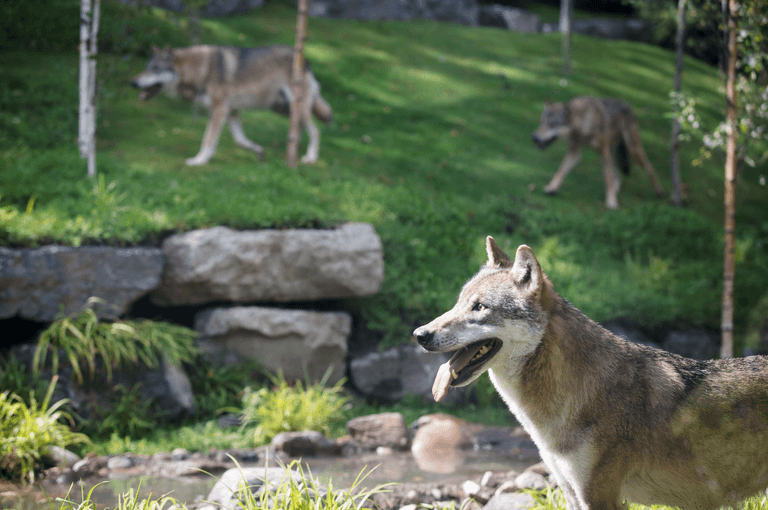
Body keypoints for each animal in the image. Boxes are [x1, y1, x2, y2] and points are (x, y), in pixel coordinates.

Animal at [130, 45, 333, 166]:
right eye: (146, 67)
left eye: (155, 69)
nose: (133, 82)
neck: (200, 71)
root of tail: (304, 59)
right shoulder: (231, 111)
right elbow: (240, 140)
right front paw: (259, 151)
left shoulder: (219, 111)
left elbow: (208, 140)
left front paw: (199, 160)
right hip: (284, 109)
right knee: (301, 128)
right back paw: (293, 147)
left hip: (298, 107)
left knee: (316, 131)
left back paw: (310, 157)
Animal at [532, 96, 665, 209]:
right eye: (541, 122)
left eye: (551, 124)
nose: (533, 137)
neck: (584, 122)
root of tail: (625, 103)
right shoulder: (574, 153)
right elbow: (560, 171)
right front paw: (551, 188)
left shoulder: (604, 150)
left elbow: (607, 178)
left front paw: (611, 202)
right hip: (607, 154)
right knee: (616, 175)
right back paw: (615, 190)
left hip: (633, 151)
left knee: (649, 167)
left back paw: (659, 191)